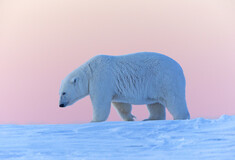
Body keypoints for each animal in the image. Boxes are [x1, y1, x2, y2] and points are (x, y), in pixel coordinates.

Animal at [58, 52, 189, 122]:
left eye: (64, 93)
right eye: (59, 93)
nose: (60, 105)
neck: (89, 72)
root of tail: (180, 68)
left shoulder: (101, 79)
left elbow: (100, 103)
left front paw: (93, 120)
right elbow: (121, 105)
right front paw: (130, 118)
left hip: (165, 79)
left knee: (174, 100)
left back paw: (180, 118)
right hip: (156, 86)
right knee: (155, 104)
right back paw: (150, 118)